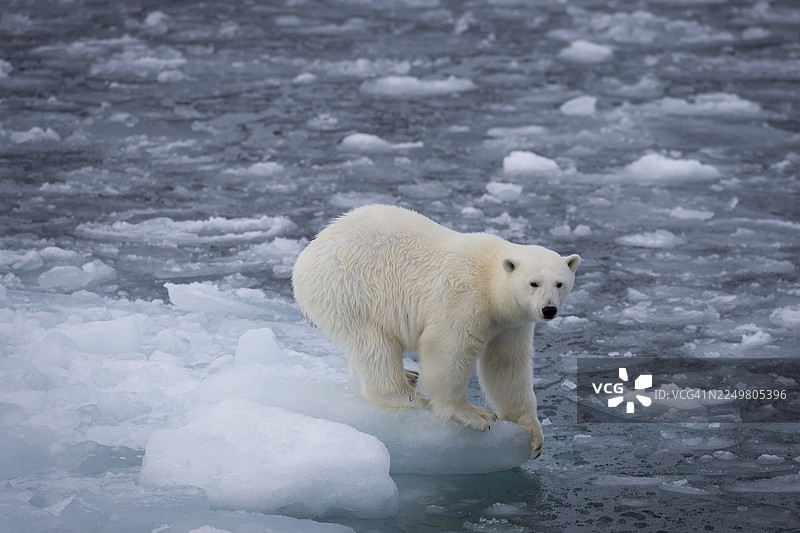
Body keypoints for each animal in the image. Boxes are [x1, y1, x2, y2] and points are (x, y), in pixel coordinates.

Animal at [292, 204, 580, 459]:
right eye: (534, 283)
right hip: (352, 289)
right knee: (374, 343)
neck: (490, 282)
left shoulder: (510, 324)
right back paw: (408, 394)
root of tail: (306, 256)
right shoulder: (464, 297)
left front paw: (534, 436)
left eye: (559, 283)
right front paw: (475, 414)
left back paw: (408, 375)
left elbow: (507, 365)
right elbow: (448, 348)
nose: (548, 309)